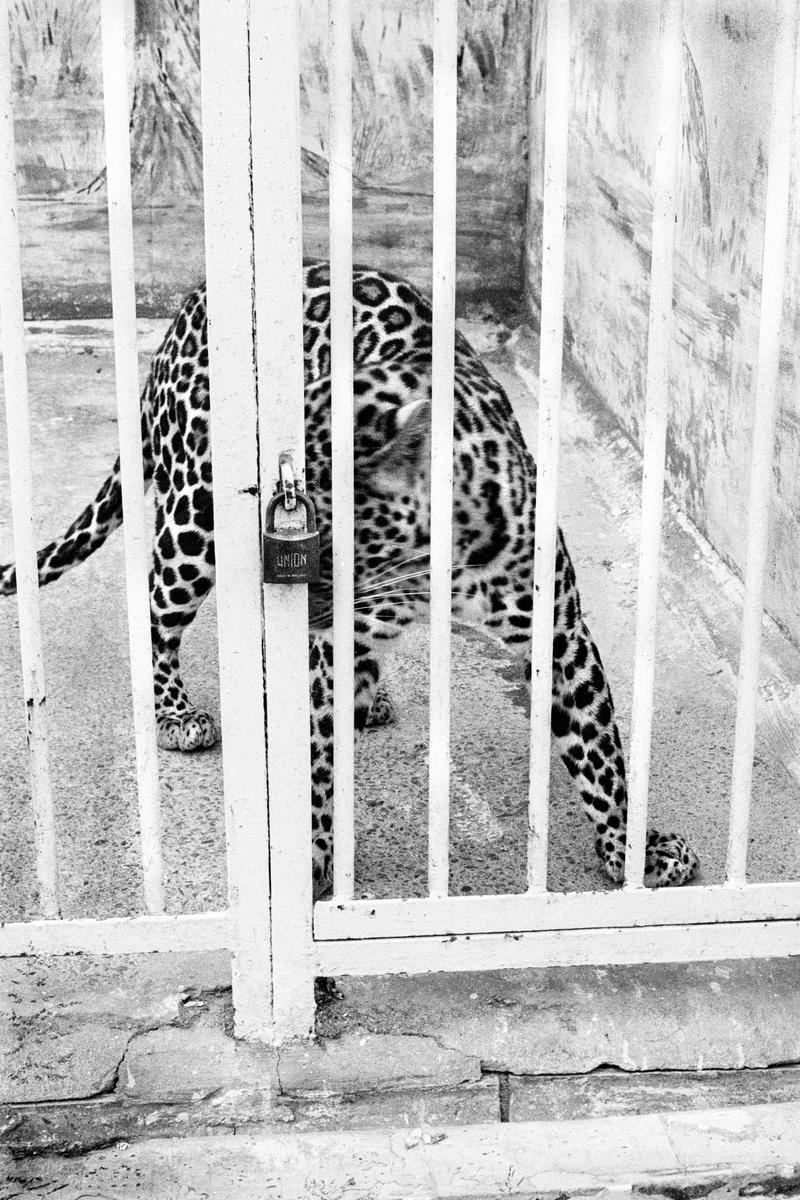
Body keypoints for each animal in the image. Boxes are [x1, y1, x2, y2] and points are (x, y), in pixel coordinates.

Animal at [0, 265, 700, 902]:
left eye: (320, 537)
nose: (280, 604)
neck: (435, 563)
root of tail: (184, 310)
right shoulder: (327, 644)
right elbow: (313, 760)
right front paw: (308, 857)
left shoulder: (558, 630)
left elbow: (600, 749)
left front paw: (633, 849)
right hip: (192, 521)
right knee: (154, 610)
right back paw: (176, 713)